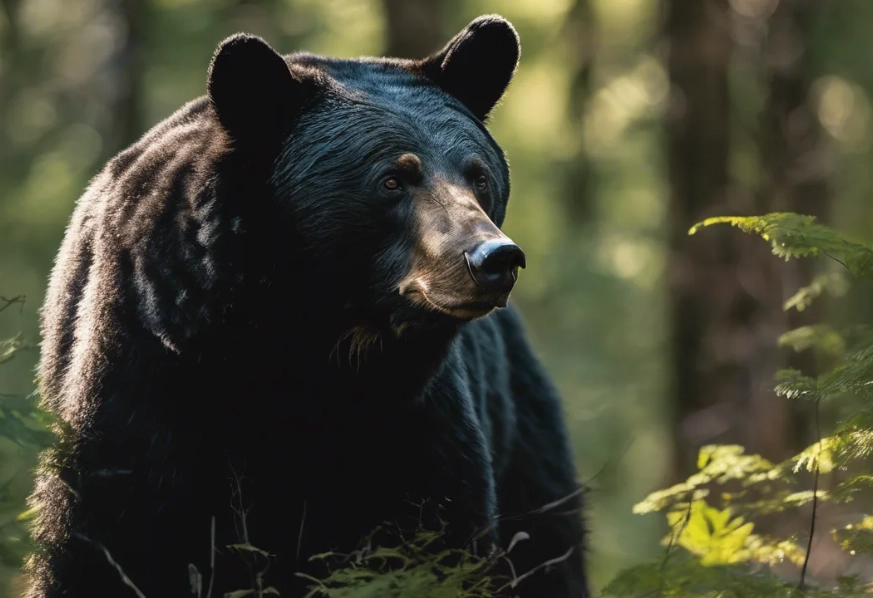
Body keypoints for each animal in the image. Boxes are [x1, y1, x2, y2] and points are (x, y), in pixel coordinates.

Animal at [25, 15, 588, 598]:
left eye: (478, 174)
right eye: (392, 179)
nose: (495, 258)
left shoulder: (413, 423)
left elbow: (434, 541)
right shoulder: (147, 377)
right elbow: (106, 538)